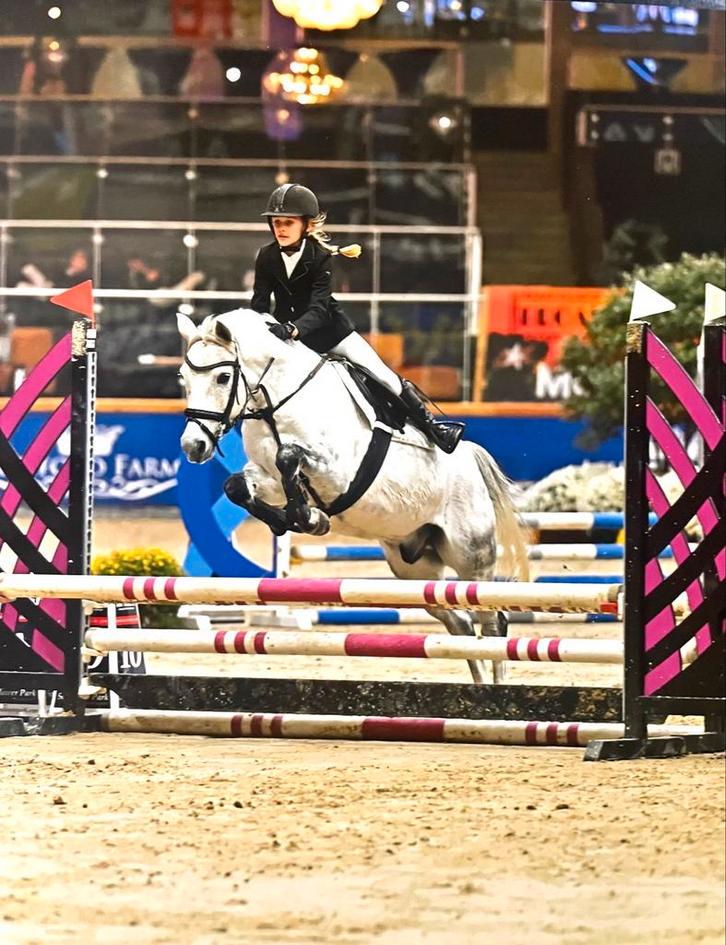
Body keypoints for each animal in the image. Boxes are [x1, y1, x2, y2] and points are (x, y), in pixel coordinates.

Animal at [177, 309, 529, 683]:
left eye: (223, 377)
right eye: (183, 377)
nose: (193, 446)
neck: (278, 402)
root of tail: (471, 461)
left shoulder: (336, 471)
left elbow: (288, 455)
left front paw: (309, 517)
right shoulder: (267, 477)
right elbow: (237, 486)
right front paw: (300, 519)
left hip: (471, 557)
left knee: (492, 622)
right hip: (415, 568)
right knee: (459, 625)